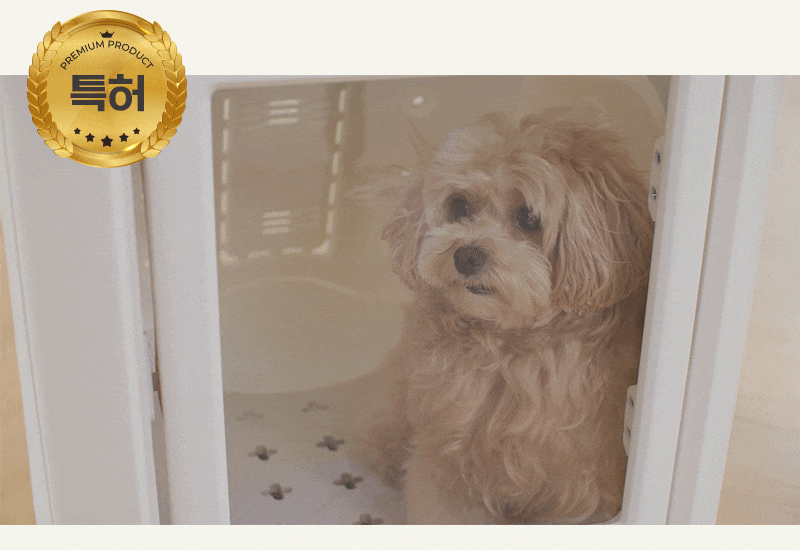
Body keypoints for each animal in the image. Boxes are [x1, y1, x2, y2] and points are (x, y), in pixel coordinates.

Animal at [367, 107, 654, 524]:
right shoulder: (448, 467)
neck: (511, 348)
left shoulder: (581, 491)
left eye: (529, 217)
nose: (466, 256)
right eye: (459, 205)